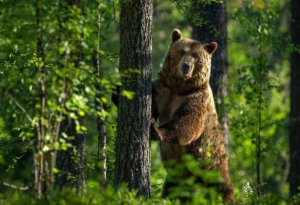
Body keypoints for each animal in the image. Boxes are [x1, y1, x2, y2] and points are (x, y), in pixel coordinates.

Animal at [151, 28, 233, 202]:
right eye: (182, 52)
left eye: (196, 56)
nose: (186, 66)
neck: (181, 87)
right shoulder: (164, 89)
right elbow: (152, 103)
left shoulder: (196, 98)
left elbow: (188, 123)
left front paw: (156, 130)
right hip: (177, 180)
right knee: (170, 191)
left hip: (212, 171)